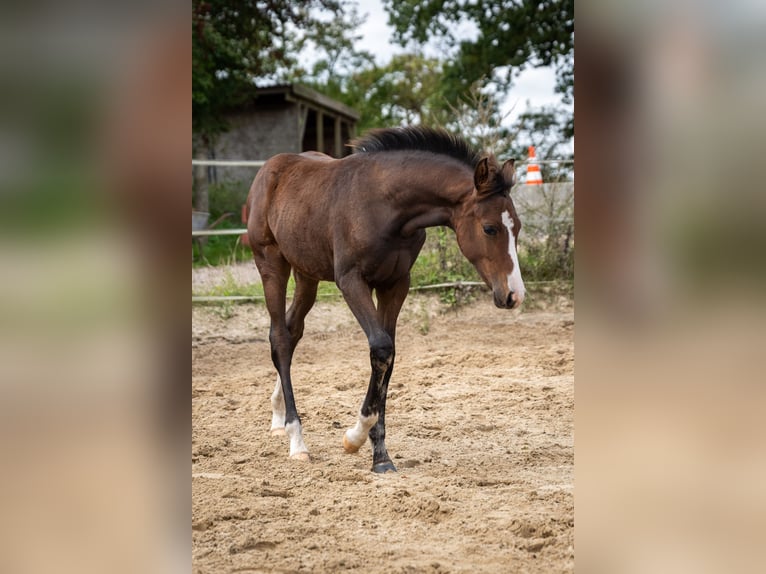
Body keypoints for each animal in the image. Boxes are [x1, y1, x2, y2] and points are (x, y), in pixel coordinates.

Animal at [246, 126, 525, 473]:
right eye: (489, 228)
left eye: (518, 227)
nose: (514, 295)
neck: (386, 206)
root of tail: (269, 170)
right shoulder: (351, 280)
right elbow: (380, 348)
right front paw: (353, 438)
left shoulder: (395, 284)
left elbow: (388, 357)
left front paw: (380, 457)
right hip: (271, 264)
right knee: (280, 337)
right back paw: (296, 439)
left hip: (307, 274)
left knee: (292, 330)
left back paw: (278, 413)